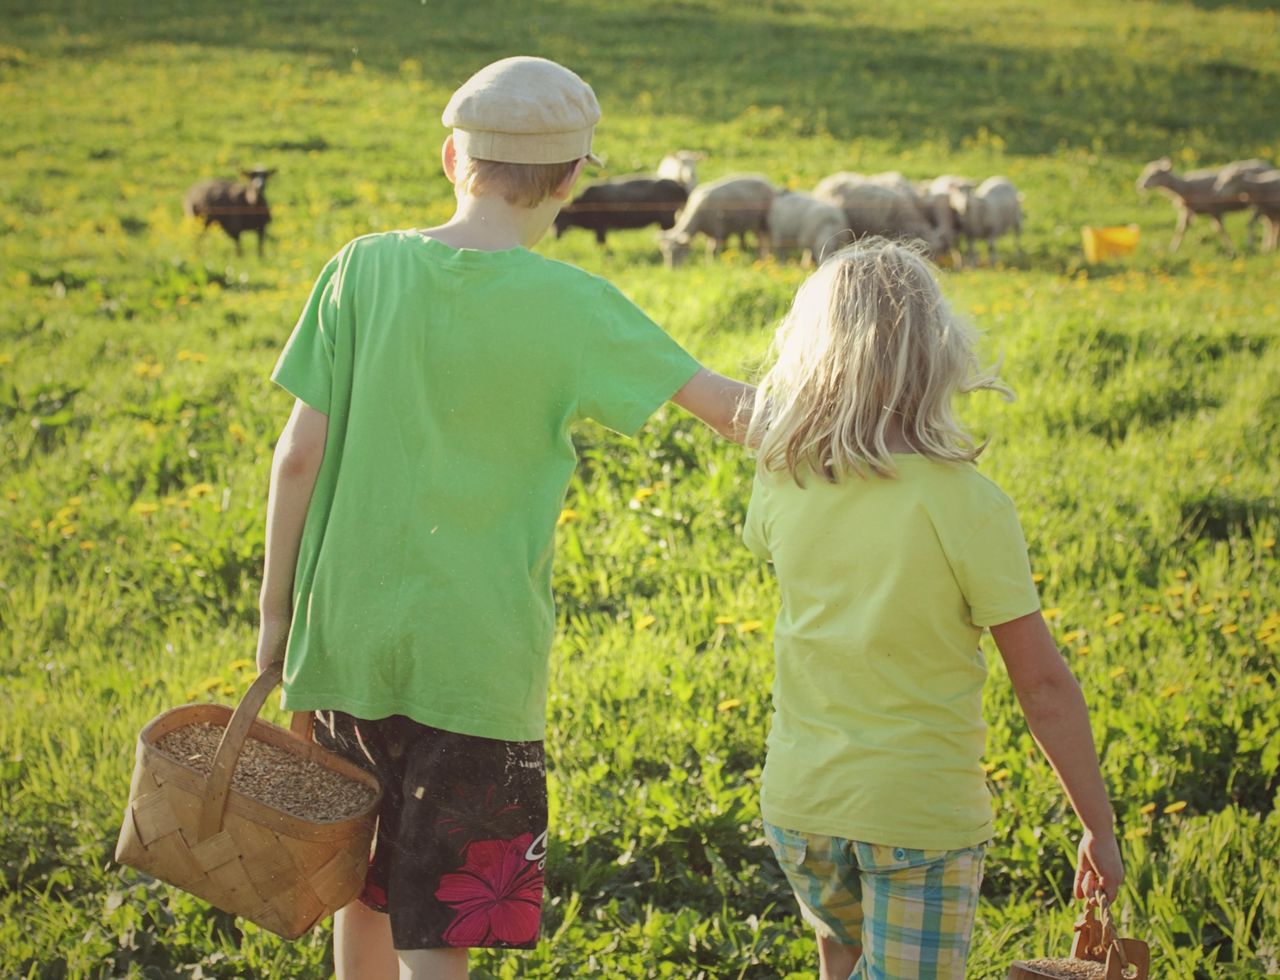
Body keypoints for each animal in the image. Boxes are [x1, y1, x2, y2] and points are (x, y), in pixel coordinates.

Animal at [552, 180, 691, 249]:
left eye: (563, 218)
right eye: (554, 222)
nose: (555, 236)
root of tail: (680, 186)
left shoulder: (601, 228)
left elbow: (601, 243)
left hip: (667, 219)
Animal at [1136, 155, 1264, 255]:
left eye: (1155, 174)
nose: (1140, 185)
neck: (1184, 187)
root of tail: (1263, 163)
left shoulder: (1215, 210)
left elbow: (1220, 230)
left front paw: (1231, 248)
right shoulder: (1186, 212)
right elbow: (1180, 230)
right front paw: (1173, 249)